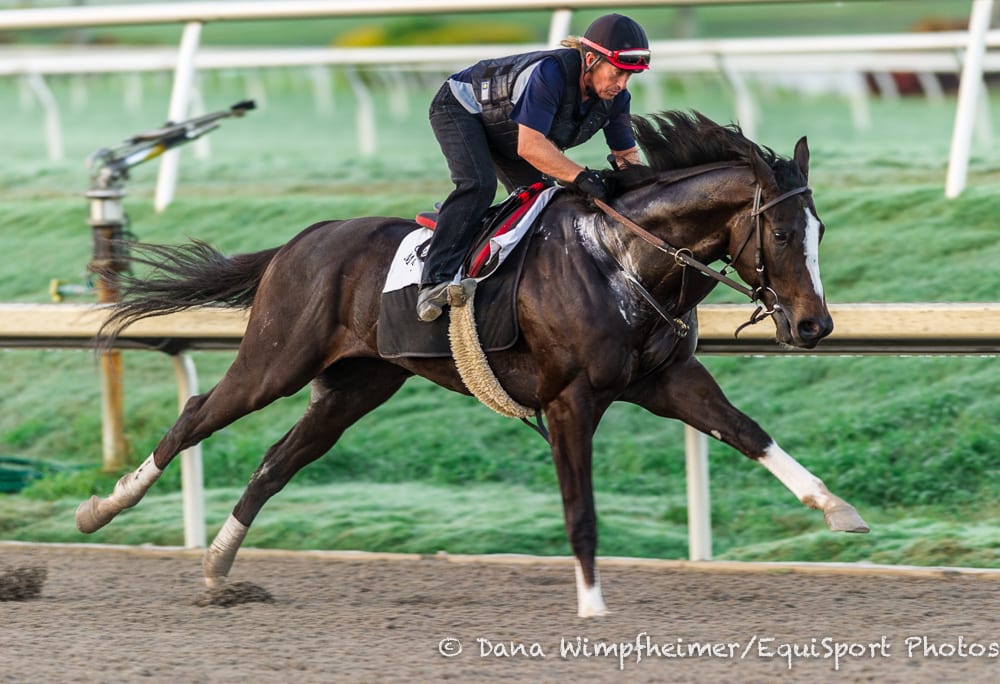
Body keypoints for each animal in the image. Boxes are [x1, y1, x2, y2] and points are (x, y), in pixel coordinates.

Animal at [75, 111, 869, 618]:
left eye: (821, 228)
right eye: (780, 231)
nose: (814, 325)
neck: (624, 257)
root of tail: (300, 241)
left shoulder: (666, 380)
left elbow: (748, 431)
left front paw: (838, 508)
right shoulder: (569, 400)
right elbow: (580, 508)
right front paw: (591, 603)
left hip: (357, 384)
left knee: (276, 463)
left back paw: (217, 568)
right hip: (277, 360)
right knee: (194, 416)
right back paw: (103, 508)